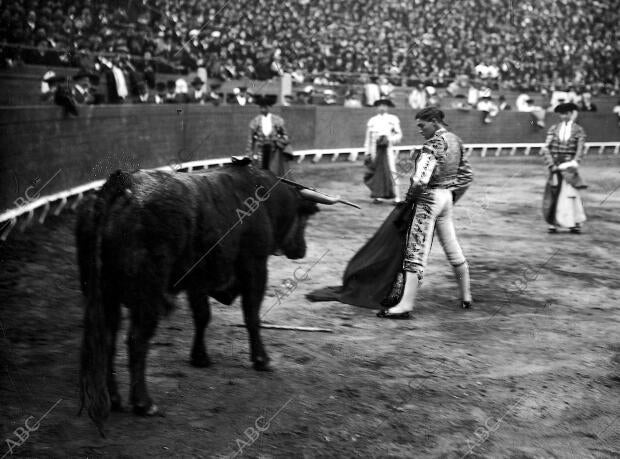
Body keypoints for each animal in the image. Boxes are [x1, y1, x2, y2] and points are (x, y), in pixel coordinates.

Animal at [77, 164, 324, 434]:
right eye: (304, 218)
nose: (302, 250)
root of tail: (124, 183)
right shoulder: (255, 266)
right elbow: (251, 315)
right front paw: (262, 360)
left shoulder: (197, 279)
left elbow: (202, 316)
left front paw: (200, 357)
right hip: (148, 294)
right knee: (136, 339)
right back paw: (144, 403)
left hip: (104, 294)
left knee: (107, 339)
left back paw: (114, 399)